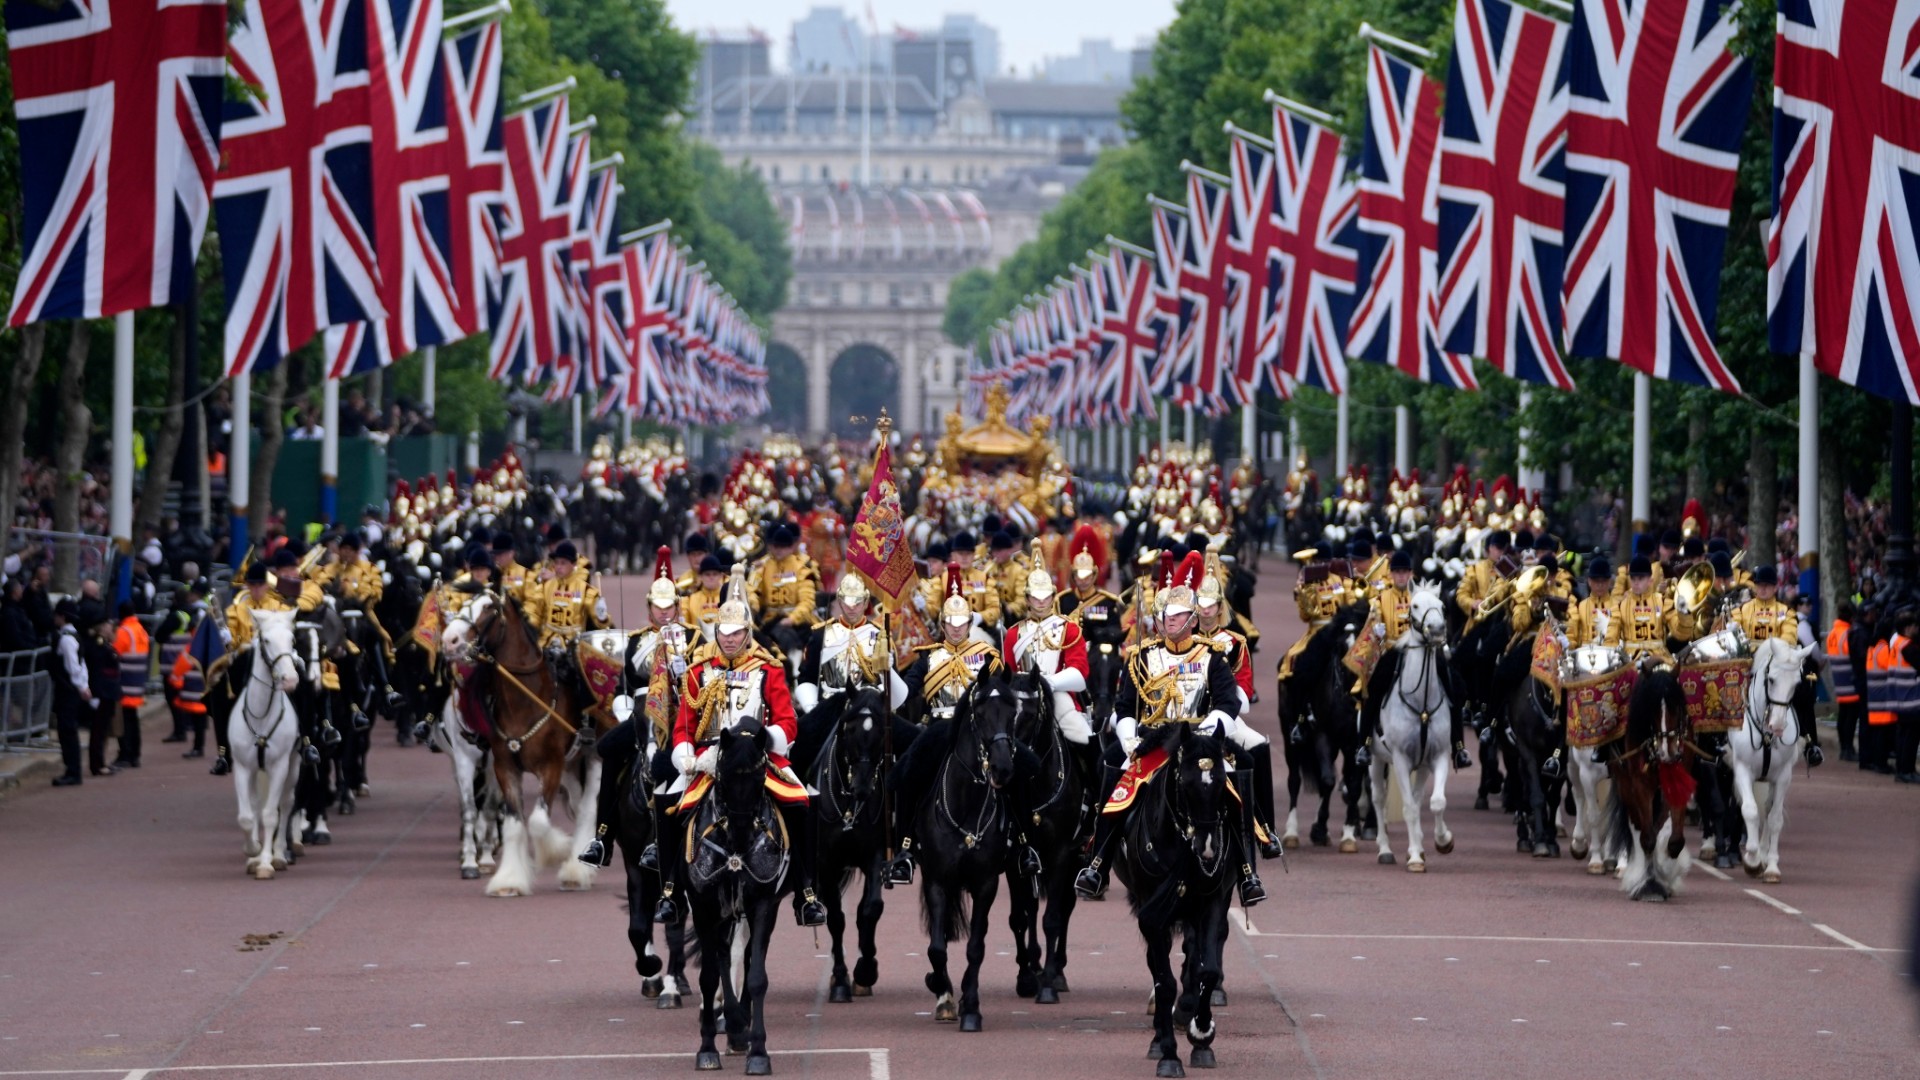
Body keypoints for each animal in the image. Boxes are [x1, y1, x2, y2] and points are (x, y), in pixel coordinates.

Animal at [231, 611, 303, 880]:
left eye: (292, 639)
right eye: (266, 640)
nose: (290, 679)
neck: (261, 716)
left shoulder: (279, 766)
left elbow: (271, 815)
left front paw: (265, 862)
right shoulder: (243, 767)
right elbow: (247, 816)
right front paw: (253, 851)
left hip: (293, 765)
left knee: (286, 803)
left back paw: (279, 854)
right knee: (256, 807)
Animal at [447, 588, 606, 891]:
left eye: (488, 608)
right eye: (464, 604)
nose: (449, 640)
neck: (526, 698)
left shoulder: (551, 766)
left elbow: (538, 822)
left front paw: (556, 851)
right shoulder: (506, 767)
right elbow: (514, 825)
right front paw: (508, 880)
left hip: (593, 757)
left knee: (588, 808)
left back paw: (576, 869)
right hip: (571, 766)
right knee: (578, 804)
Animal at [1121, 718, 1236, 1068]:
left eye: (1221, 781)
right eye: (1186, 783)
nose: (1209, 849)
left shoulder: (1212, 901)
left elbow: (1207, 970)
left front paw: (1202, 1034)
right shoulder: (1152, 911)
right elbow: (1165, 981)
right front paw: (1168, 1051)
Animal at [1367, 580, 1451, 864]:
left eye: (1442, 606)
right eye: (1415, 606)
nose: (1436, 630)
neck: (1421, 704)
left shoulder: (1438, 755)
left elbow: (1436, 802)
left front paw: (1442, 841)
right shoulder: (1401, 759)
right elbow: (1409, 809)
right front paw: (1414, 857)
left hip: (1421, 766)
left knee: (1416, 797)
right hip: (1375, 758)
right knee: (1378, 798)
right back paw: (1384, 849)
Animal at [1728, 634, 1812, 880]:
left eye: (1797, 684)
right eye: (1772, 680)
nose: (1778, 726)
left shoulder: (1783, 776)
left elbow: (1774, 818)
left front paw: (1771, 865)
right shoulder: (1742, 770)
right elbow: (1749, 810)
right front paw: (1752, 860)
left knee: (1767, 808)